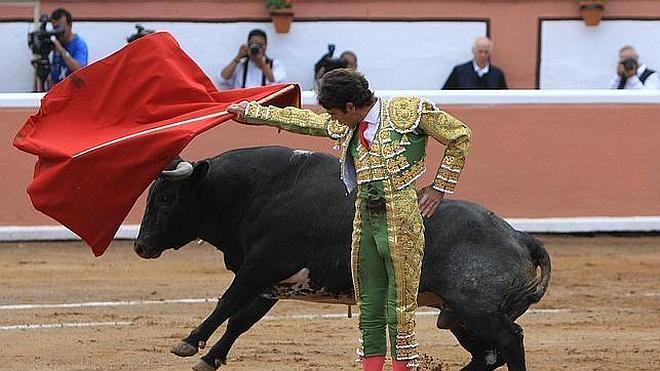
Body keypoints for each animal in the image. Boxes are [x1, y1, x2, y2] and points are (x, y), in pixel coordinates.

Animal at [133, 147, 548, 371]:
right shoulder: (272, 284)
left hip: (476, 307)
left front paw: (189, 342)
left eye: (166, 199)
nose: (140, 246)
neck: (257, 193)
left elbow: (226, 304)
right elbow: (240, 320)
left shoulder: (260, 268)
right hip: (457, 316)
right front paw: (210, 358)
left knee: (510, 340)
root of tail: (519, 236)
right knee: (488, 355)